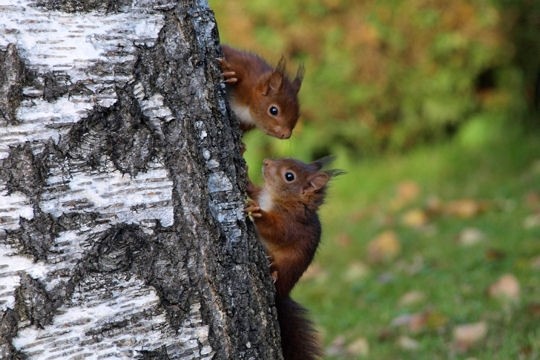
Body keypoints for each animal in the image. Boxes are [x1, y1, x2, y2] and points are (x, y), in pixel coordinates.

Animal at [246, 157, 342, 360]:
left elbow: (277, 230)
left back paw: (272, 271)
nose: (266, 162)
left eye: (289, 176)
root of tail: (282, 295)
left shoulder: (291, 224)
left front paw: (259, 214)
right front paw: (248, 183)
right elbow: (257, 193)